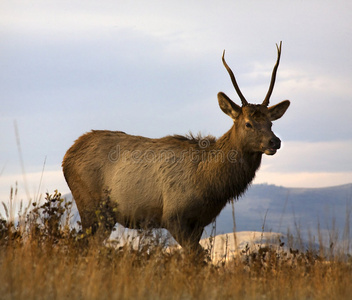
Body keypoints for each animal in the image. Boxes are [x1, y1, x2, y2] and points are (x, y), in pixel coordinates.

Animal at [62, 42, 290, 252]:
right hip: (91, 206)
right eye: (248, 124)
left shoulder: (199, 222)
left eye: (270, 123)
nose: (274, 141)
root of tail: (67, 156)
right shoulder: (173, 215)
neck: (210, 184)